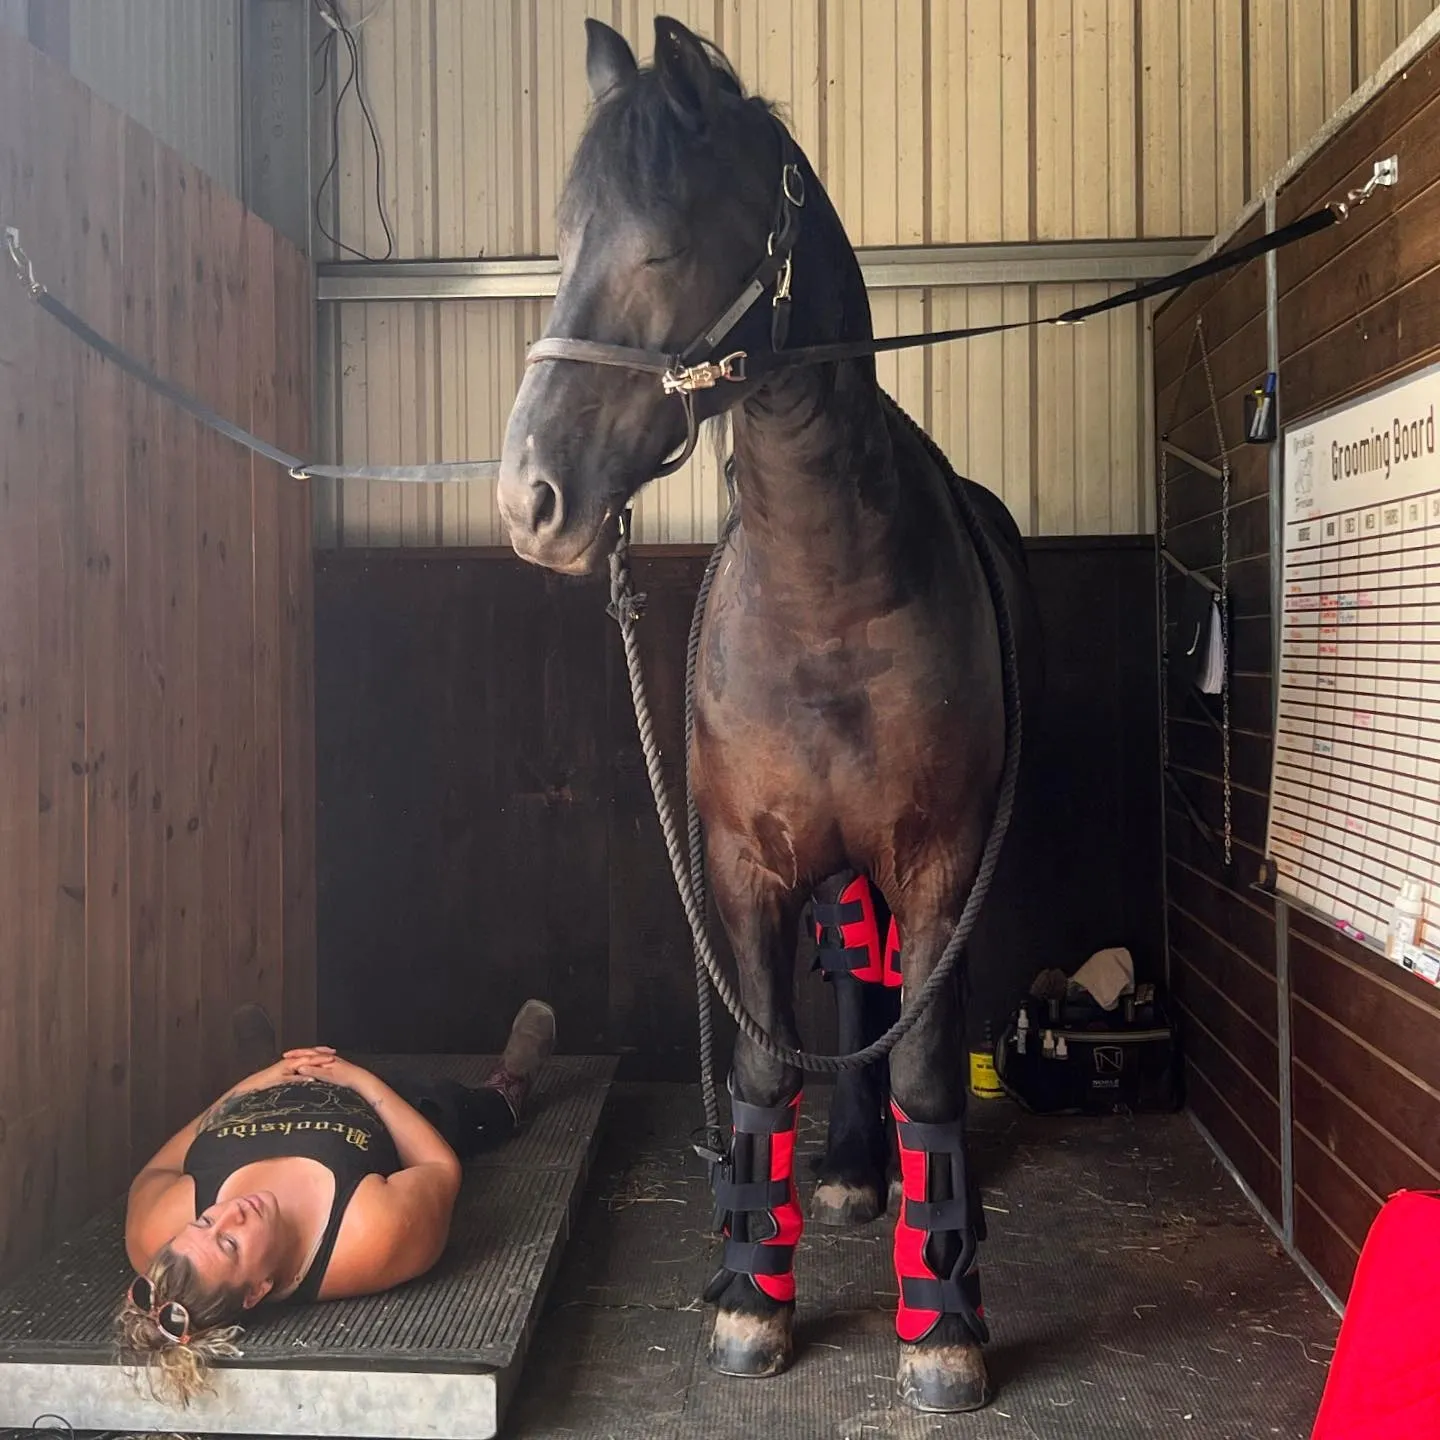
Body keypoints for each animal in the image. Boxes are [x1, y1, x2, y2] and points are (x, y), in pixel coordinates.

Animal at [496, 16, 1042, 1413]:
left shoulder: (942, 854)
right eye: (563, 243)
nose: (529, 499)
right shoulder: (745, 862)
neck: (828, 587)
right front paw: (752, 1294)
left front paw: (944, 1317)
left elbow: (923, 1055)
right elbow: (760, 1069)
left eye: (662, 244)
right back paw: (851, 1169)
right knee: (856, 966)